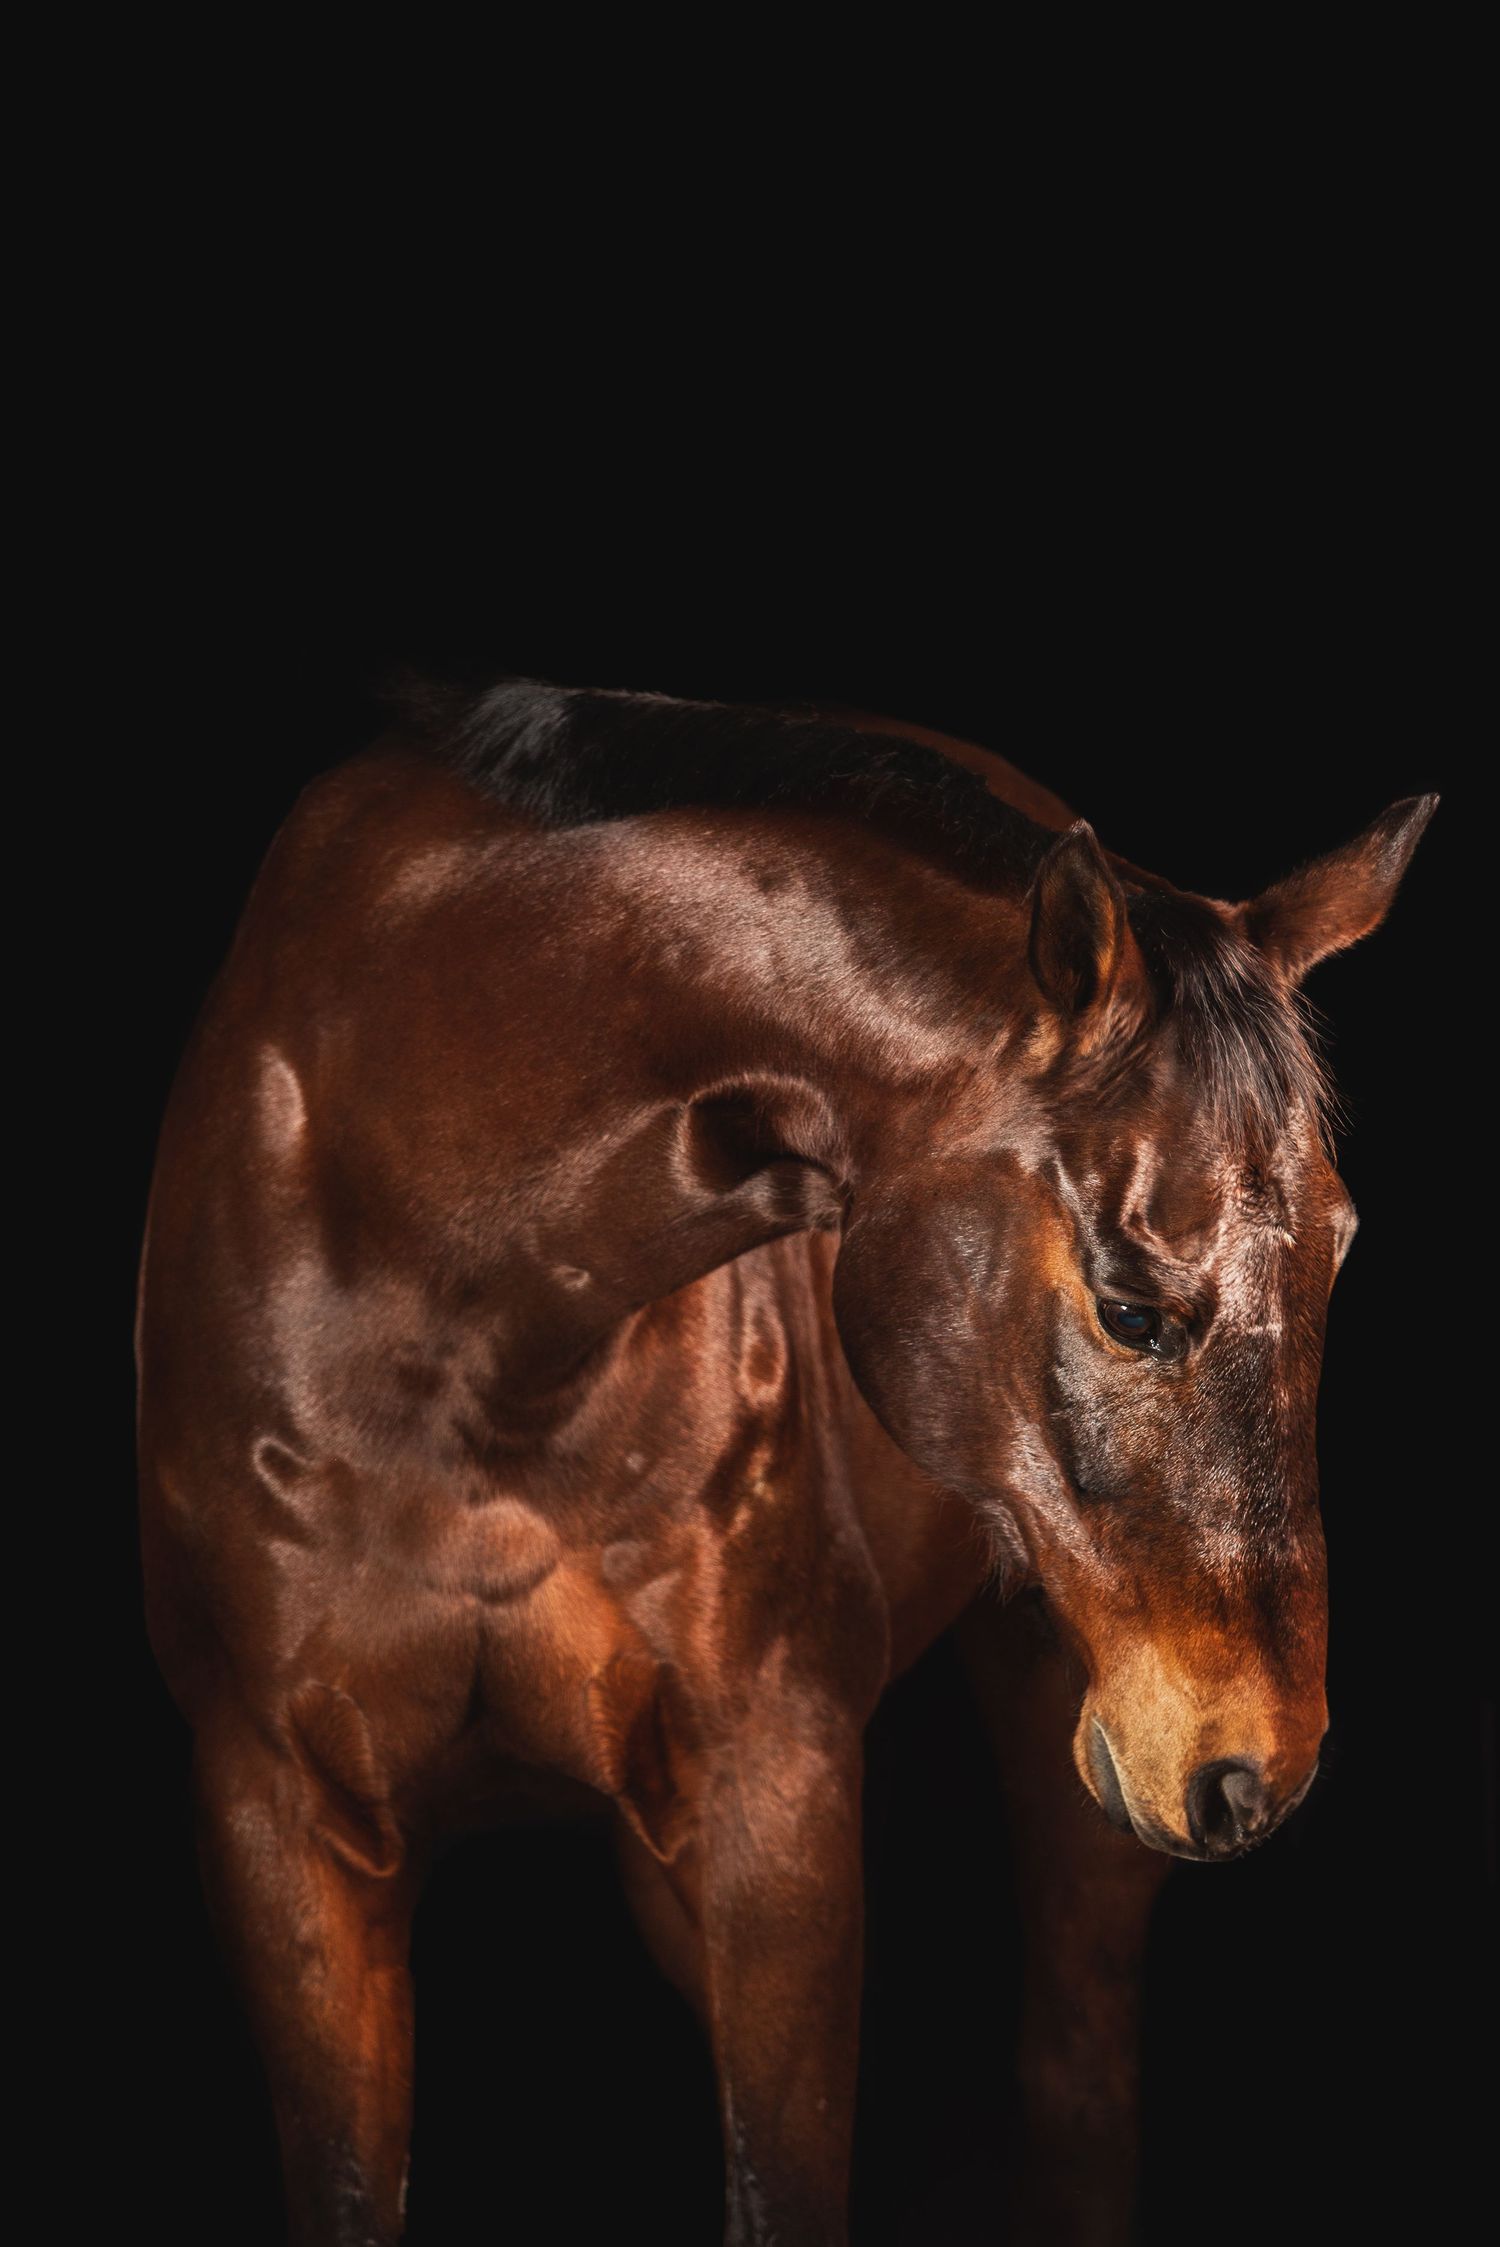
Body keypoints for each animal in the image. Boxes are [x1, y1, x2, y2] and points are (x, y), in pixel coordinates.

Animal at [135, 676, 1434, 2245]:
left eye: (1338, 1254)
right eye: (1131, 1303)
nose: (1261, 1769)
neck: (439, 1293)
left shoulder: (776, 1806)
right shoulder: (283, 1836)